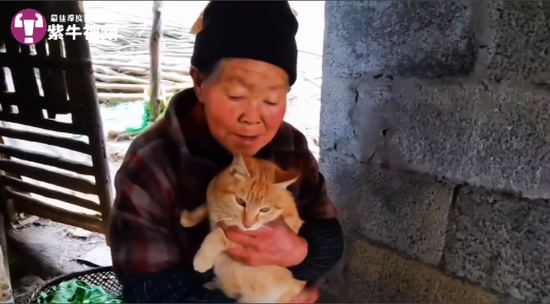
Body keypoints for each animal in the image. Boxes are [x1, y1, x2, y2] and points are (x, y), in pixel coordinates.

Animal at [180, 156, 306, 302]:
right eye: (240, 201)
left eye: (264, 209)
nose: (247, 225)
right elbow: (206, 208)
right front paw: (187, 218)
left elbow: (218, 234)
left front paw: (202, 259)